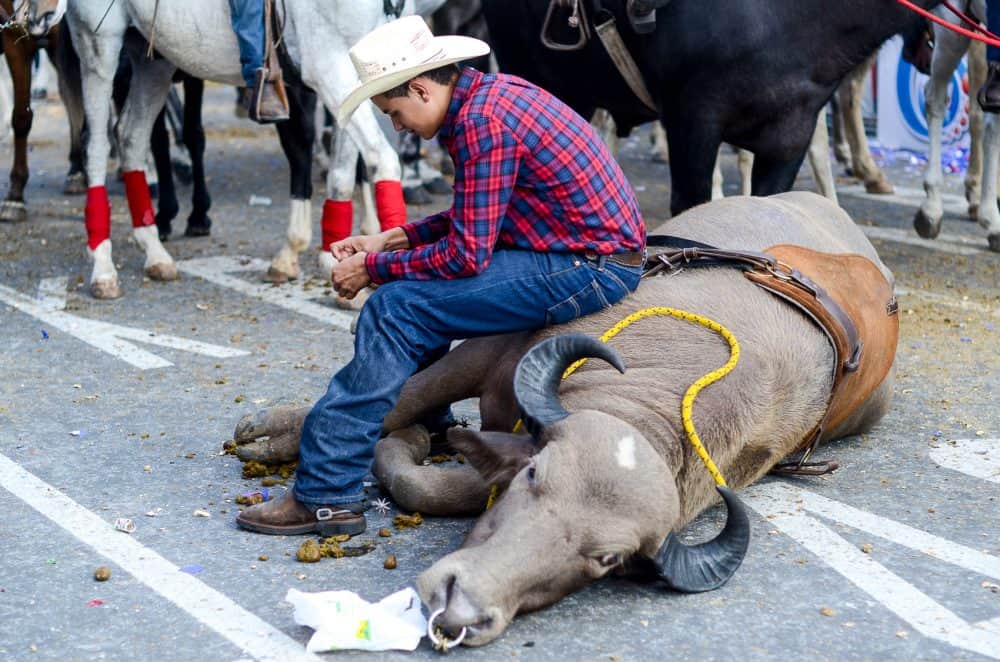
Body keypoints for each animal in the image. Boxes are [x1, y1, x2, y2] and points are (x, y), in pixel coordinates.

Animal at [43, 0, 414, 300]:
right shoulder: (330, 70)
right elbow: (380, 160)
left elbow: (342, 172)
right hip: (99, 46)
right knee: (96, 145)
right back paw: (104, 269)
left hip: (153, 60)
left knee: (132, 137)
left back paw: (155, 252)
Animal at [234, 192, 900, 648]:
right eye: (536, 476)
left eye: (606, 559)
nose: (463, 607)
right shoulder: (493, 345)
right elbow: (402, 396)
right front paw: (276, 435)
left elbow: (433, 481)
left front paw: (409, 444)